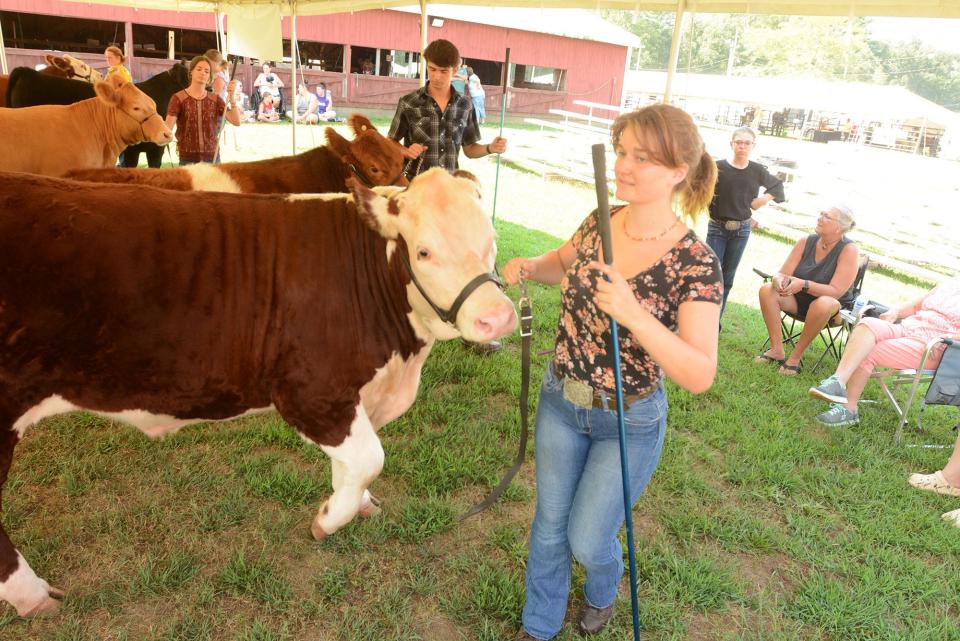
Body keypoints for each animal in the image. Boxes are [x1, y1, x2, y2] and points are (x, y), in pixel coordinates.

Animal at [0, 168, 516, 616]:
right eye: (424, 251)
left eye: (491, 241)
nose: (497, 317)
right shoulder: (311, 392)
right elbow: (369, 458)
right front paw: (329, 518)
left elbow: (353, 464)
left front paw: (356, 504)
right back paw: (33, 596)